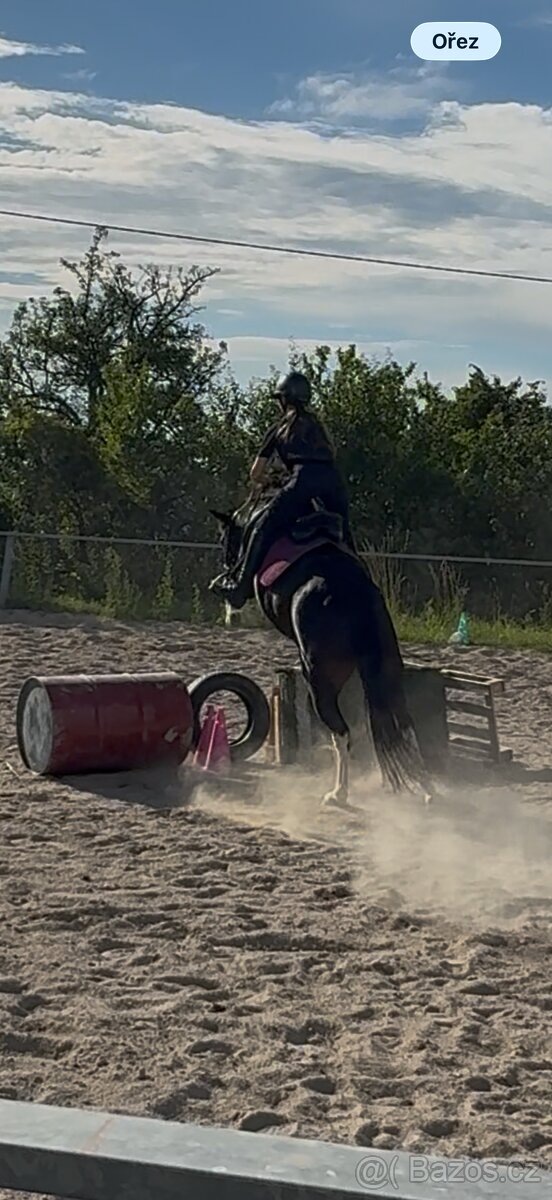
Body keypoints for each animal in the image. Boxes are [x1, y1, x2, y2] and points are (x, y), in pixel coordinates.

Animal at [210, 492, 431, 808]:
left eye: (224, 540)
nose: (225, 562)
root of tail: (355, 595)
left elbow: (238, 594)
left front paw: (230, 607)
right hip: (387, 674)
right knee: (404, 726)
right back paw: (426, 789)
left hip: (319, 679)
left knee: (341, 733)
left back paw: (338, 793)